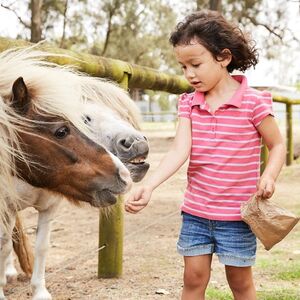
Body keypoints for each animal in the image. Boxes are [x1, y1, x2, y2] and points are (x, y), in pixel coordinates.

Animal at [0, 47, 149, 300]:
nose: (139, 144)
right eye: (62, 130)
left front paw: (40, 291)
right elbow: (4, 245)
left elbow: (41, 246)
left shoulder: (49, 207)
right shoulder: (7, 206)